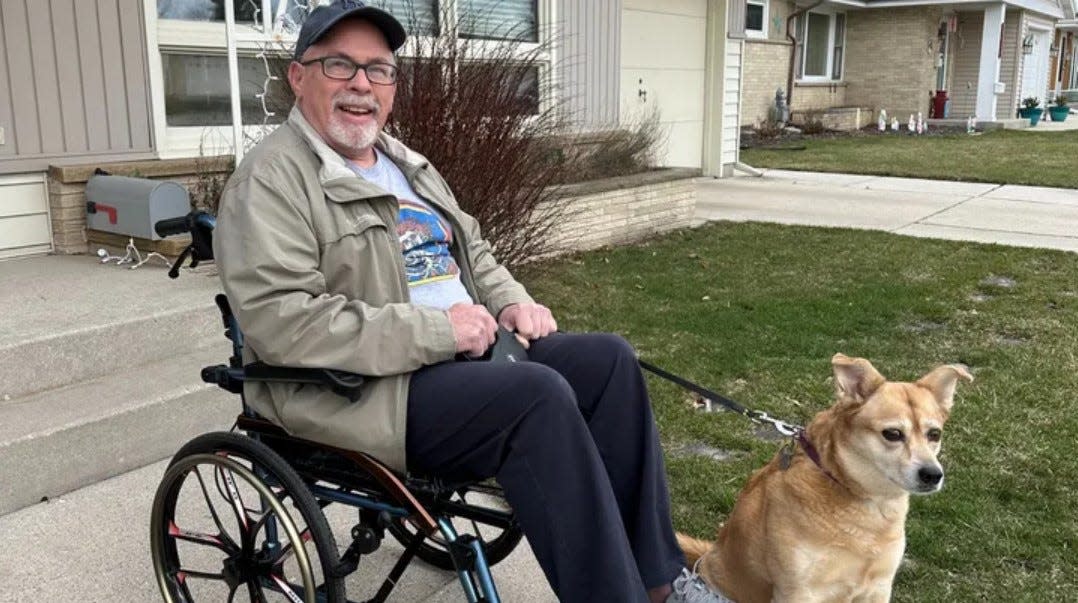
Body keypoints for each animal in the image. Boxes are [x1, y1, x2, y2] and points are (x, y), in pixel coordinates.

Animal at [676, 353, 974, 603]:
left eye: (934, 434)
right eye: (892, 434)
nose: (933, 475)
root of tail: (705, 558)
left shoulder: (878, 587)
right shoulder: (798, 592)